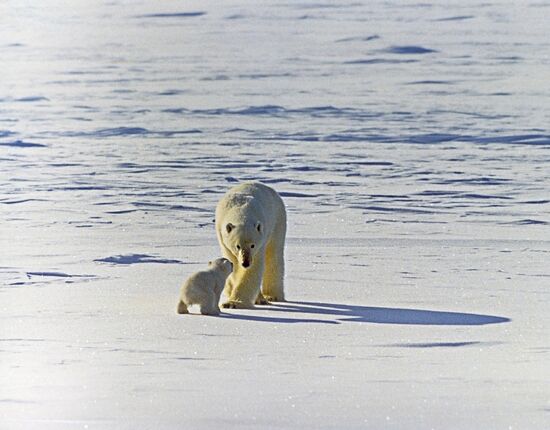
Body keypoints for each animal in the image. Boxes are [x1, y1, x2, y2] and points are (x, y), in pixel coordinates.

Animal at [215, 182, 286, 310]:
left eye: (253, 245)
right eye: (237, 246)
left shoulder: (260, 242)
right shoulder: (224, 240)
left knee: (273, 256)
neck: (242, 212)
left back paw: (271, 296)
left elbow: (253, 269)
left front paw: (233, 303)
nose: (246, 262)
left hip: (278, 221)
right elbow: (234, 266)